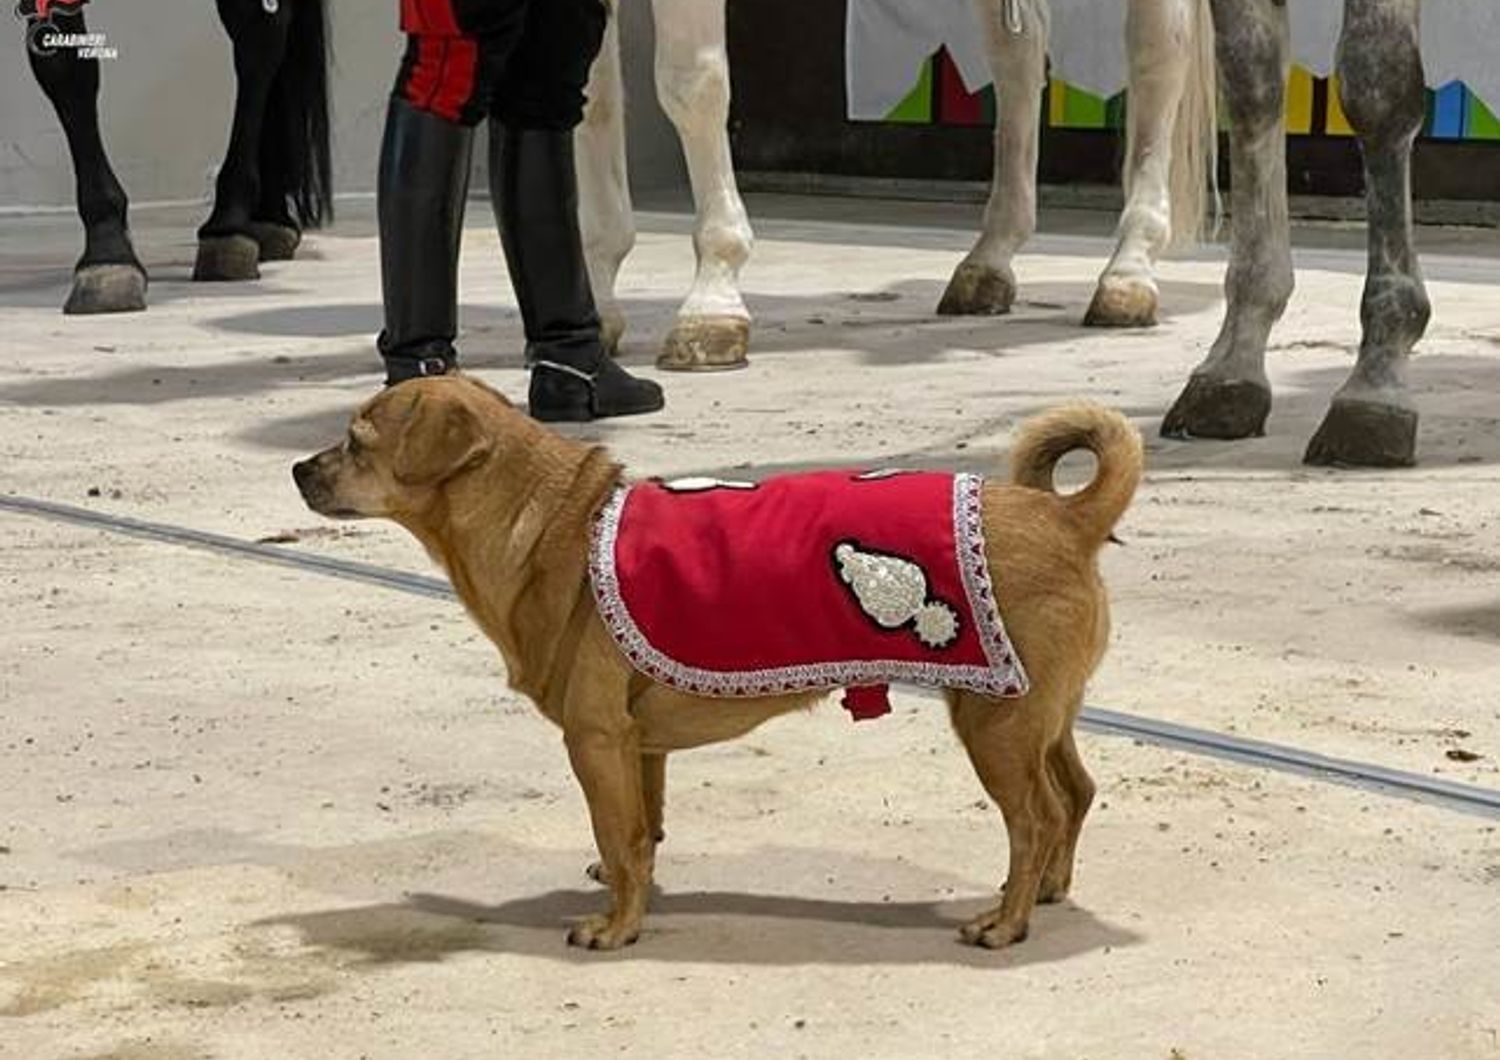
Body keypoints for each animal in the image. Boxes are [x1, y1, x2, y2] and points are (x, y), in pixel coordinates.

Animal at [289, 374, 1134, 953]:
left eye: (356, 442)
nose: (298, 469)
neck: (550, 522)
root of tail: (1066, 518)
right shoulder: (639, 749)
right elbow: (640, 834)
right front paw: (633, 895)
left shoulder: (594, 743)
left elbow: (617, 835)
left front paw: (615, 927)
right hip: (1037, 716)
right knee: (1075, 794)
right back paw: (1048, 889)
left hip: (995, 727)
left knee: (1035, 817)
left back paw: (1005, 919)